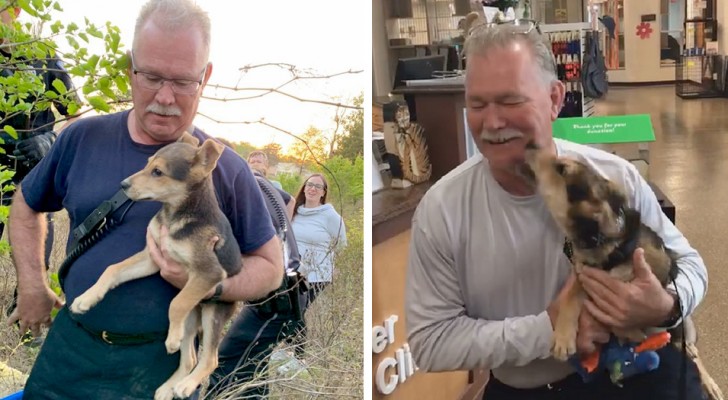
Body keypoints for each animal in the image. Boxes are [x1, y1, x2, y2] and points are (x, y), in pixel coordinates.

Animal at [69, 133, 239, 400]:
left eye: (158, 172)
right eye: (147, 164)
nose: (123, 184)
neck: (176, 216)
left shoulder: (209, 272)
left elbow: (176, 303)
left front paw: (170, 340)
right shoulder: (152, 258)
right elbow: (112, 269)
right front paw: (87, 298)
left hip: (213, 311)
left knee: (210, 358)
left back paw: (186, 384)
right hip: (192, 316)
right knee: (190, 358)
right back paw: (168, 388)